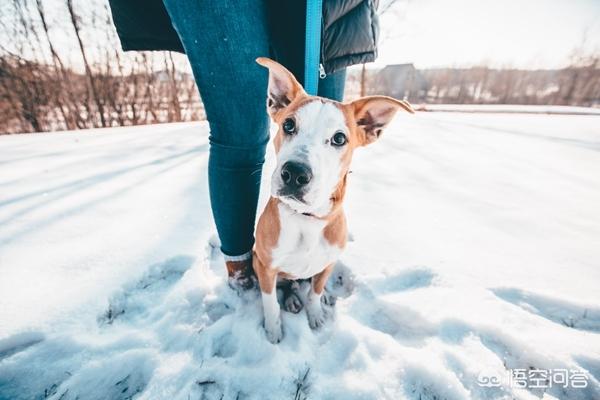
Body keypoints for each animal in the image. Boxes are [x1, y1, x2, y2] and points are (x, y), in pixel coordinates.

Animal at [253, 57, 412, 342]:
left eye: (339, 138)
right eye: (288, 125)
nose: (294, 174)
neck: (305, 219)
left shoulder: (326, 265)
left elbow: (315, 293)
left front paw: (316, 314)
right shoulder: (265, 266)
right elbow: (270, 302)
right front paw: (273, 330)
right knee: (288, 285)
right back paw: (291, 299)